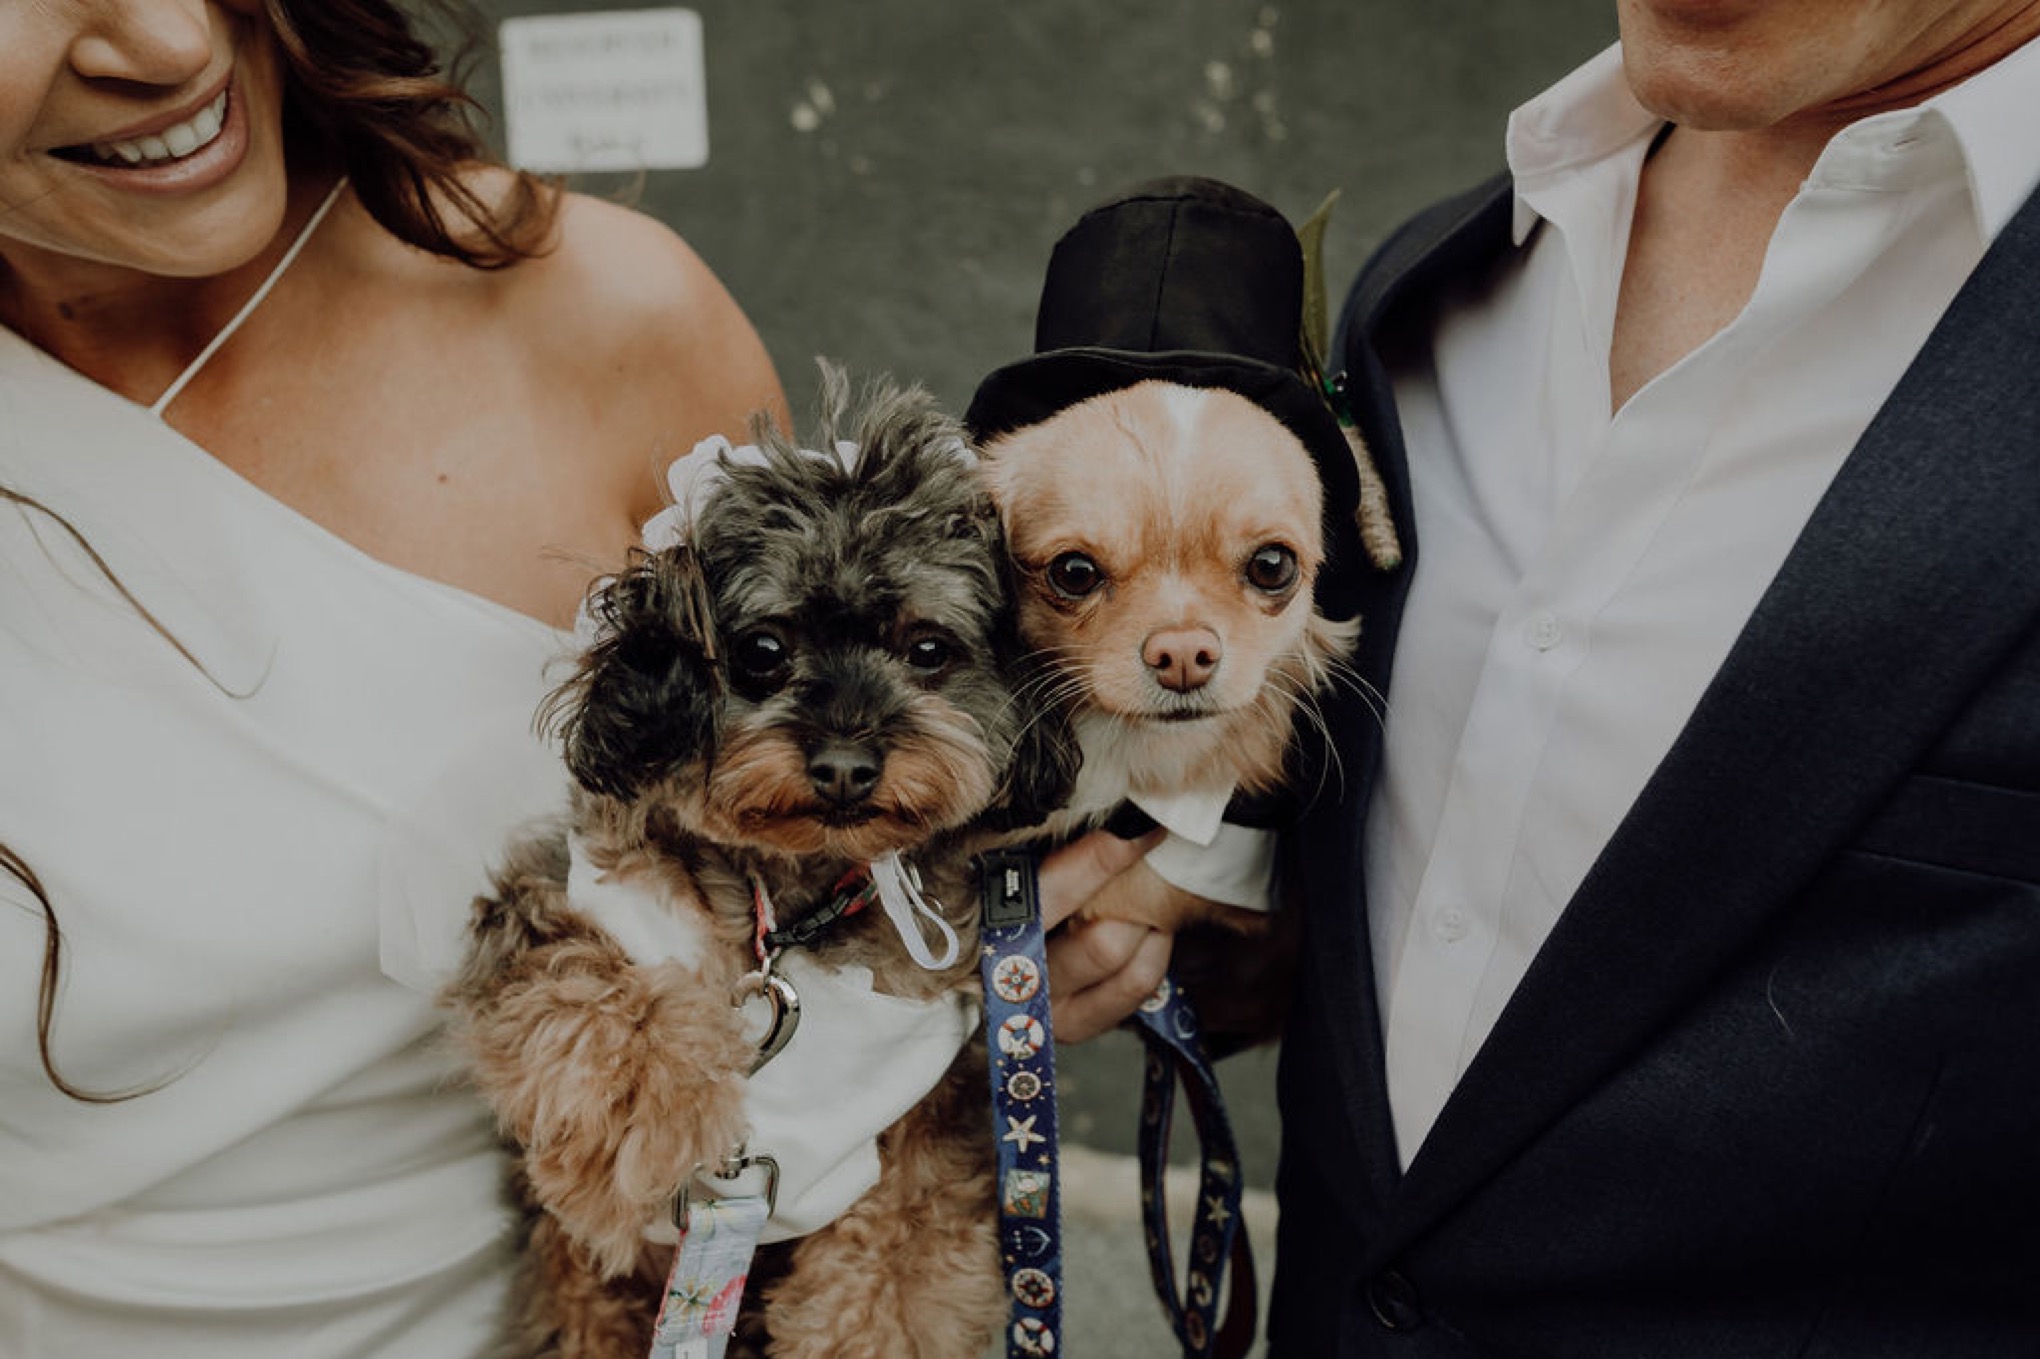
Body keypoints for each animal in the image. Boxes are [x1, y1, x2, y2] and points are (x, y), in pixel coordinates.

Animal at [448, 371, 1077, 1354]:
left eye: (929, 648)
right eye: (763, 651)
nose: (847, 766)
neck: (794, 908)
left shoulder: (930, 1126)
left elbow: (886, 1284)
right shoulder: (551, 897)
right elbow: (591, 992)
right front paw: (656, 1106)